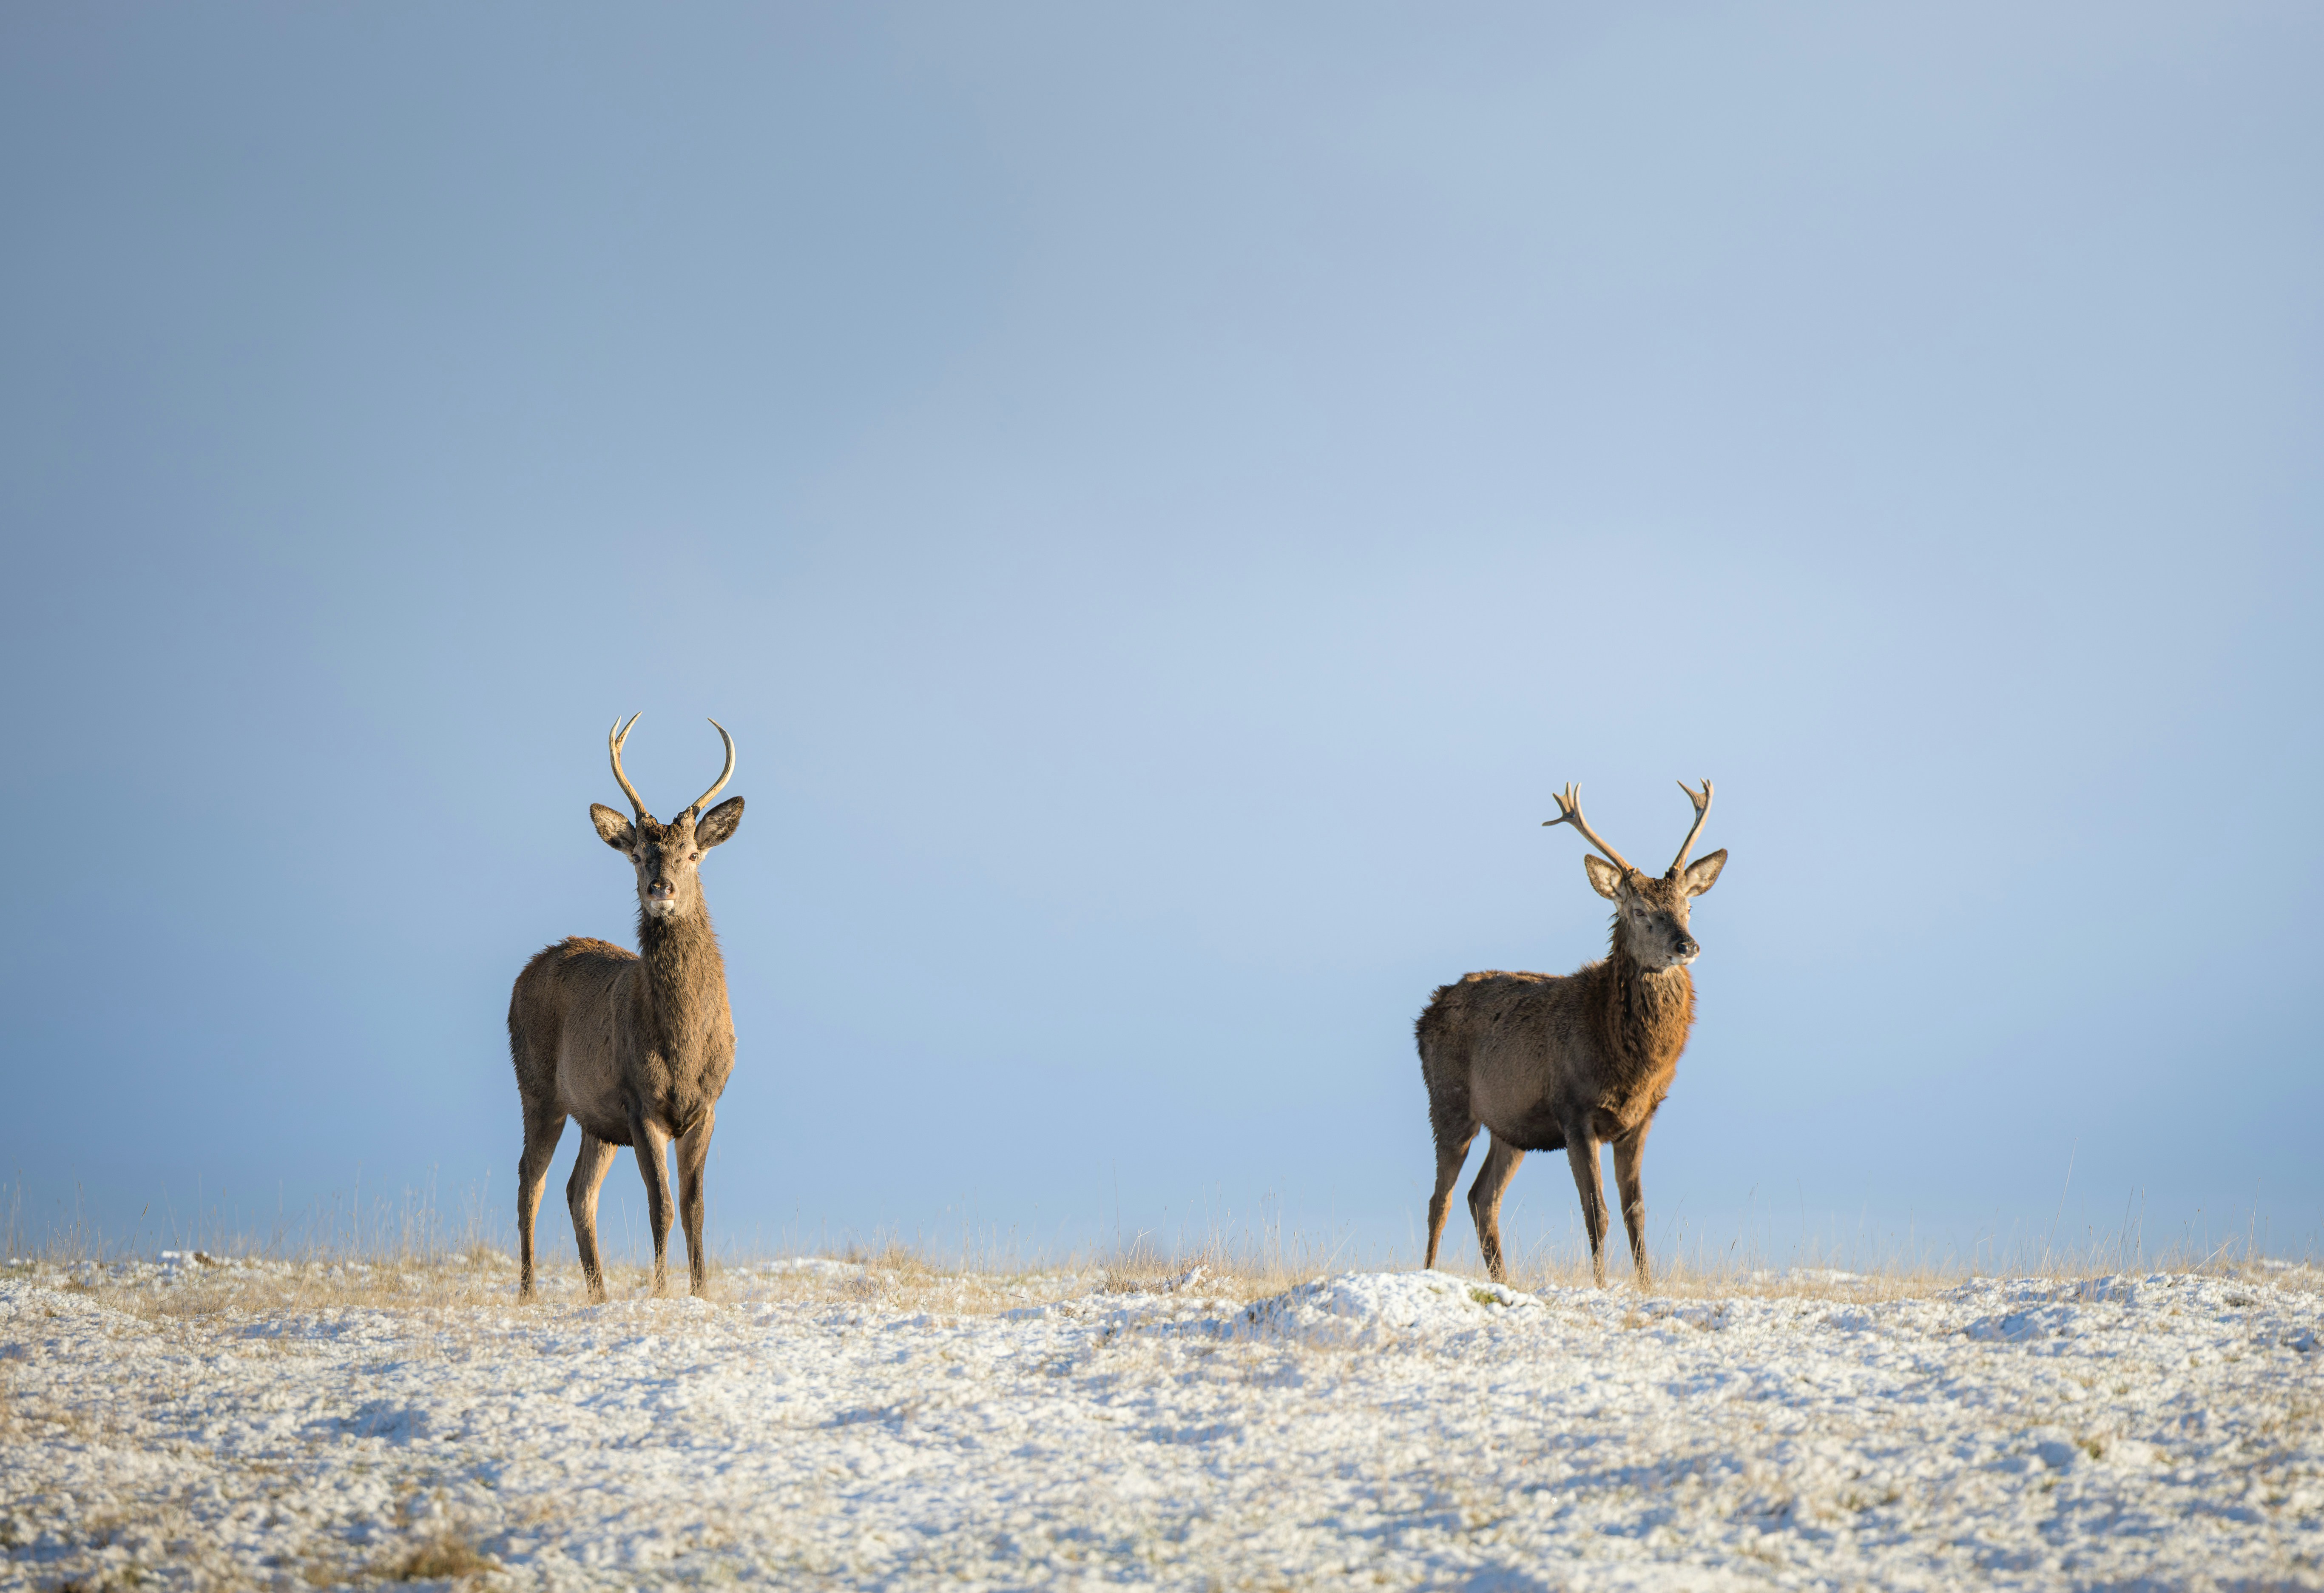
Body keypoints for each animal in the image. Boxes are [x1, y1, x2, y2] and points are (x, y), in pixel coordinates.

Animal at [508, 716, 745, 1302]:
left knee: (577, 1190)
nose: (662, 887)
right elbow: (662, 1206)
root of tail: (527, 969)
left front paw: (700, 1290)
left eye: (692, 854)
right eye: (639, 855)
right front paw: (660, 1290)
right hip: (537, 1087)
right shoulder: (641, 1103)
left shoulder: (707, 1104)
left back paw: (598, 1292)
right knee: (530, 1180)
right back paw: (528, 1290)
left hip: (595, 1117)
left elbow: (695, 1207)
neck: (683, 1048)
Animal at [1416, 780, 1727, 1289]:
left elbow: (1636, 1210)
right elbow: (1596, 1211)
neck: (1627, 1060)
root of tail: (1425, 1014)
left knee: (1482, 1197)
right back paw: (1427, 1274)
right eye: (1639, 910)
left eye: (1688, 905)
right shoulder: (1574, 1110)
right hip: (1448, 1100)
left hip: (1510, 1128)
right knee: (1439, 1198)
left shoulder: (1641, 1118)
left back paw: (1503, 1281)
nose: (1688, 945)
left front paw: (1647, 1286)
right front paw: (1601, 1286)